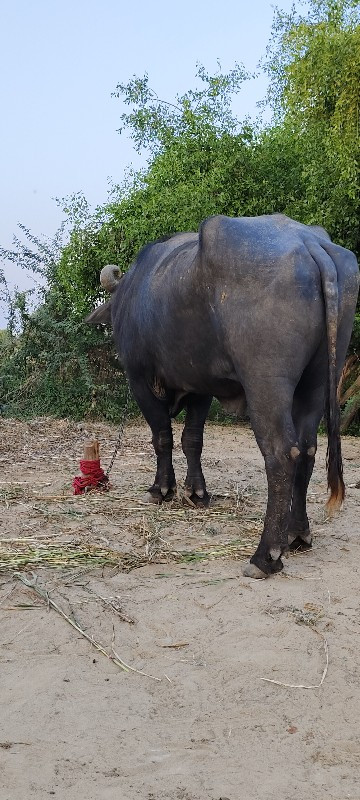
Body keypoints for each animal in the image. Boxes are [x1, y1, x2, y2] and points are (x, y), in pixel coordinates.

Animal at [88, 216, 360, 580]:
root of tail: (308, 242)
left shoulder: (140, 380)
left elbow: (162, 437)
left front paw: (162, 489)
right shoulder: (201, 388)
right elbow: (192, 440)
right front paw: (197, 492)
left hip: (266, 384)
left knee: (281, 453)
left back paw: (265, 555)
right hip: (317, 382)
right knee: (307, 449)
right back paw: (297, 533)